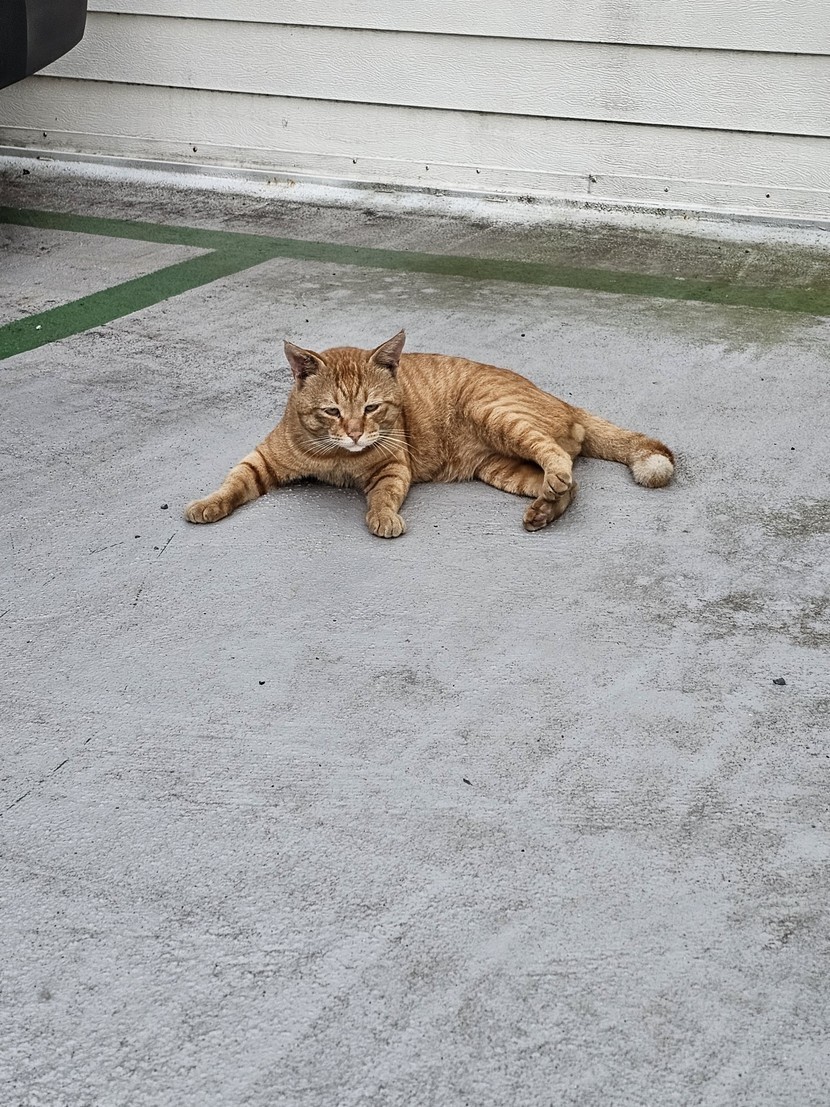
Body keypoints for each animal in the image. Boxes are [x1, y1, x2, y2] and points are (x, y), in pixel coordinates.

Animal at [185, 330, 674, 537]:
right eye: (332, 412)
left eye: (371, 408)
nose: (356, 434)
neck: (336, 458)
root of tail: (563, 401)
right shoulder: (262, 459)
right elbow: (232, 484)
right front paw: (207, 504)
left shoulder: (391, 467)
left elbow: (381, 498)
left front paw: (382, 518)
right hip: (501, 469)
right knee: (570, 484)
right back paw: (543, 512)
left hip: (498, 415)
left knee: (558, 458)